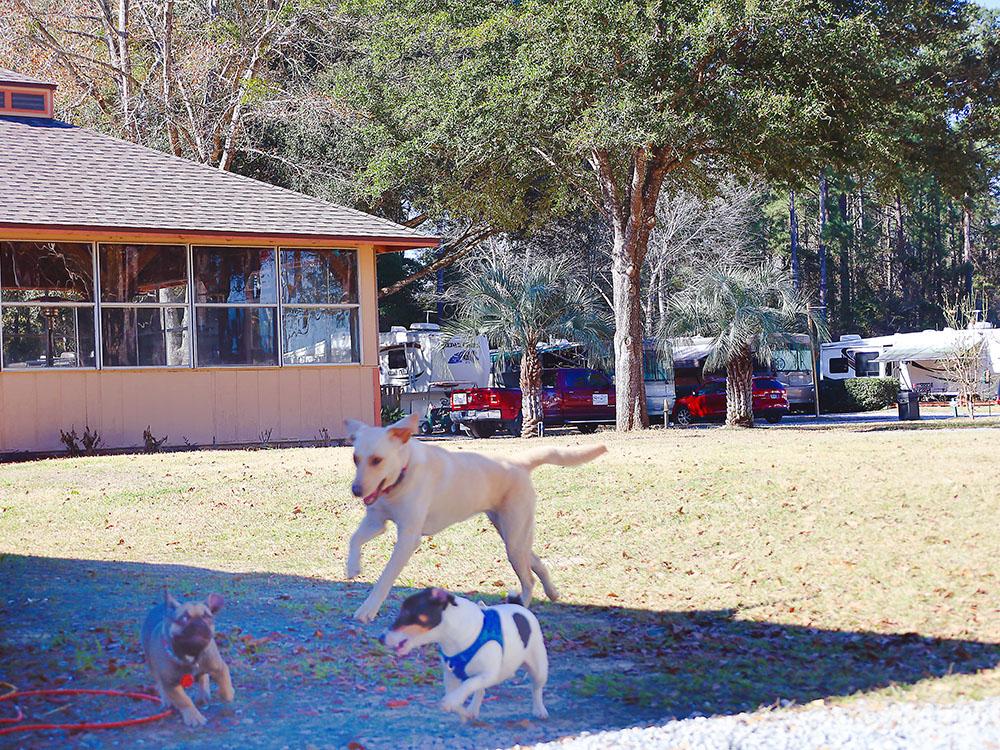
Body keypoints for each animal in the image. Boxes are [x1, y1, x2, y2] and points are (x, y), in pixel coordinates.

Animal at [141, 592, 236, 728]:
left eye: (207, 617)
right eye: (184, 618)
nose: (199, 623)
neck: (191, 654)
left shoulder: (219, 669)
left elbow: (225, 688)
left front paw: (228, 700)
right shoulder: (170, 683)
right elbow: (184, 700)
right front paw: (193, 716)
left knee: (203, 676)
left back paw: (203, 693)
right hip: (152, 665)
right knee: (159, 683)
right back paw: (167, 700)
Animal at [382, 588, 552, 724]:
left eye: (406, 613)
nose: (380, 638)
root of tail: (519, 606)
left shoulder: (488, 674)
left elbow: (467, 685)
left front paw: (451, 701)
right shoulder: (450, 675)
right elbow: (459, 697)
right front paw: (462, 711)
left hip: (539, 669)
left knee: (536, 688)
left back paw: (540, 710)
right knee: (480, 691)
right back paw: (472, 710)